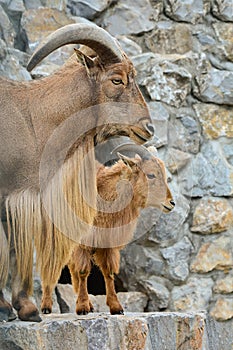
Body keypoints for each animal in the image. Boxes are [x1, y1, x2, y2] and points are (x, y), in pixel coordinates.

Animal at [0, 22, 153, 322]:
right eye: (117, 80)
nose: (148, 127)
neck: (32, 120)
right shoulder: (11, 194)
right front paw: (17, 308)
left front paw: (18, 308)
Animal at [40, 142, 175, 314]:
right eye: (151, 175)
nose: (171, 203)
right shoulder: (82, 243)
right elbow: (83, 271)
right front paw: (82, 307)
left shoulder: (107, 244)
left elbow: (108, 272)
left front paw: (116, 307)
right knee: (50, 265)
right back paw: (46, 306)